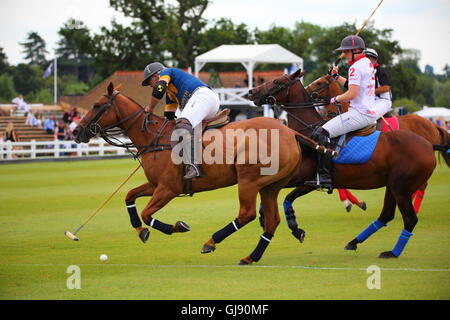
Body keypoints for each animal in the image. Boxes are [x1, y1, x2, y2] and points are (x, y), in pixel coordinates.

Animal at [74, 82, 306, 264]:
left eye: (96, 105)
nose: (76, 131)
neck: (154, 138)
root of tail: (289, 132)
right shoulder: (156, 185)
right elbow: (129, 196)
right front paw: (141, 231)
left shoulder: (168, 188)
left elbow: (147, 214)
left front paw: (177, 226)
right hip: (270, 185)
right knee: (272, 220)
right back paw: (251, 257)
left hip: (249, 180)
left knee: (246, 214)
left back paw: (211, 242)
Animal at [306, 74, 450, 212]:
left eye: (319, 82)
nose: (307, 89)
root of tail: (433, 124)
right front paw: (354, 203)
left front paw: (352, 203)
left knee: (421, 185)